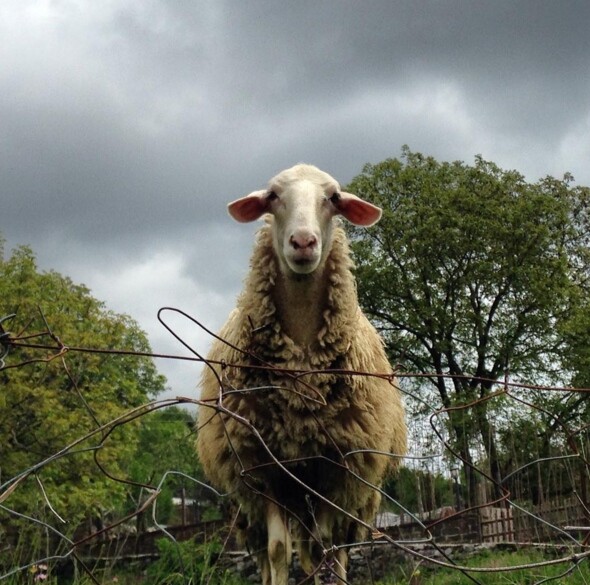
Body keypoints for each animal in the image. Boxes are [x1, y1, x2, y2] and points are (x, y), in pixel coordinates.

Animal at [197, 164, 410, 584]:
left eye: (333, 198)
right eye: (273, 196)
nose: (303, 242)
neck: (301, 375)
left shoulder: (336, 469)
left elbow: (327, 546)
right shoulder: (267, 472)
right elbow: (279, 551)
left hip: (355, 495)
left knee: (333, 545)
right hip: (249, 505)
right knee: (267, 552)